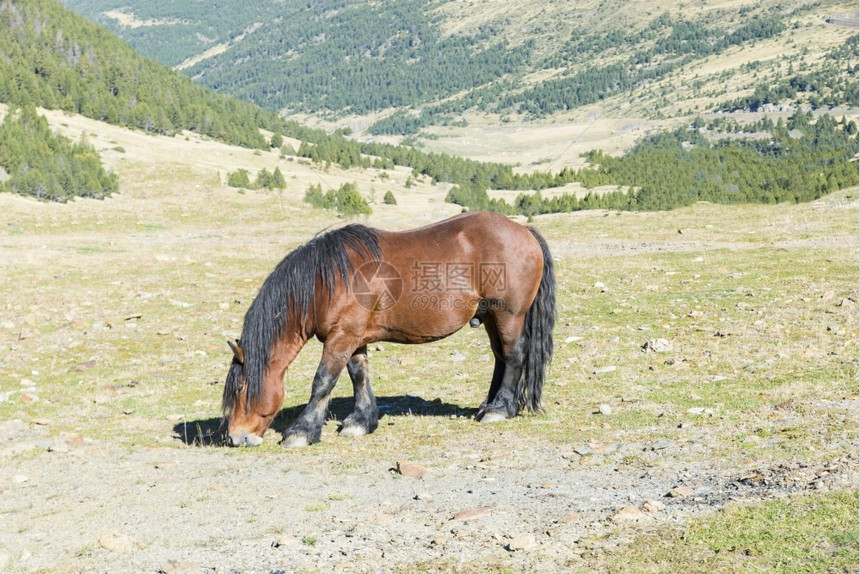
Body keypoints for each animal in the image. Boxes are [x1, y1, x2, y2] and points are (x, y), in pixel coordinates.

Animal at [222, 213, 556, 450]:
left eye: (240, 389)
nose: (235, 437)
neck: (326, 280)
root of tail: (523, 230)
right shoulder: (353, 338)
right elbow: (359, 376)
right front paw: (360, 421)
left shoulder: (341, 338)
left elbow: (323, 381)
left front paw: (302, 431)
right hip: (489, 317)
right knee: (500, 357)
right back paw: (488, 405)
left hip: (508, 315)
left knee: (513, 356)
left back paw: (499, 409)